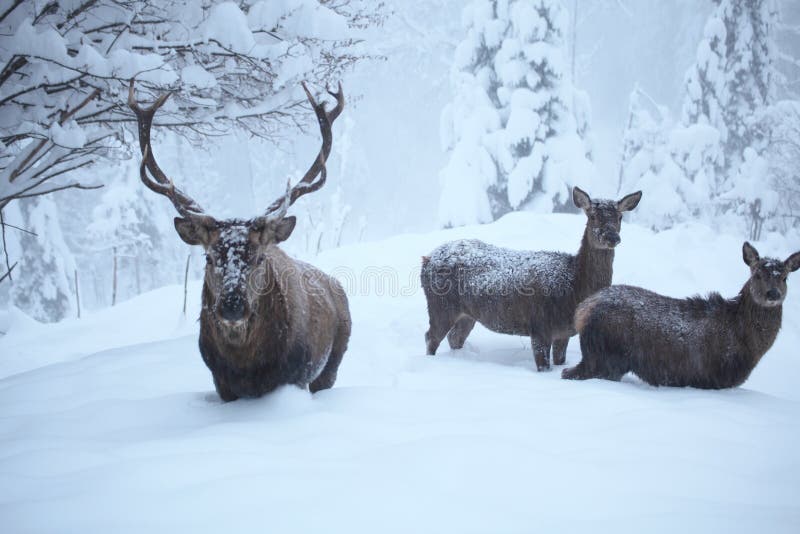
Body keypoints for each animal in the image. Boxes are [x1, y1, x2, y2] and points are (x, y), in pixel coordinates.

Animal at [128, 79, 350, 402]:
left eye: (259, 257)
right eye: (208, 257)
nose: (233, 305)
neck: (247, 368)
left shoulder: (295, 378)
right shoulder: (221, 384)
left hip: (333, 362)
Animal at [422, 188, 640, 372]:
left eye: (620, 217)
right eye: (593, 216)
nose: (612, 237)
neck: (573, 287)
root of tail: (427, 259)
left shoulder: (564, 332)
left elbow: (560, 361)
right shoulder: (540, 326)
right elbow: (543, 366)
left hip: (467, 314)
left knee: (454, 337)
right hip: (440, 305)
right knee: (431, 337)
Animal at [564, 243, 800, 390]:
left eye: (785, 277)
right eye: (757, 274)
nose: (773, 294)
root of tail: (583, 310)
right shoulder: (713, 379)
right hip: (604, 357)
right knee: (569, 372)